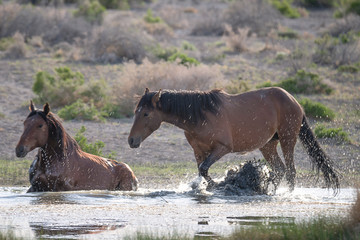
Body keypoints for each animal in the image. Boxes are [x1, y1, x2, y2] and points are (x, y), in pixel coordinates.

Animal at [129, 87, 340, 192]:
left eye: (146, 114)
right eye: (136, 111)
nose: (131, 140)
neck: (201, 115)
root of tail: (294, 101)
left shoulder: (222, 148)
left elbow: (204, 170)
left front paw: (220, 184)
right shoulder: (198, 151)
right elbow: (201, 171)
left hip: (288, 139)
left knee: (291, 171)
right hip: (268, 145)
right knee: (280, 169)